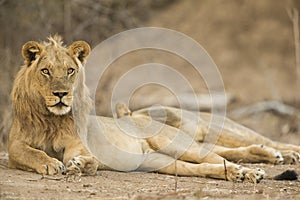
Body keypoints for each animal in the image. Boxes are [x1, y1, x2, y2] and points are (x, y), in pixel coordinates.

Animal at [8, 35, 298, 183]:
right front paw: (51, 164)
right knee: (206, 167)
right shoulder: (15, 146)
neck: (50, 119)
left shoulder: (79, 144)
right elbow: (31, 153)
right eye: (46, 71)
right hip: (158, 161)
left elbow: (87, 159)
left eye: (70, 71)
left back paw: (252, 171)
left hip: (178, 144)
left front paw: (79, 165)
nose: (61, 94)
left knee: (221, 157)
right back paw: (242, 173)